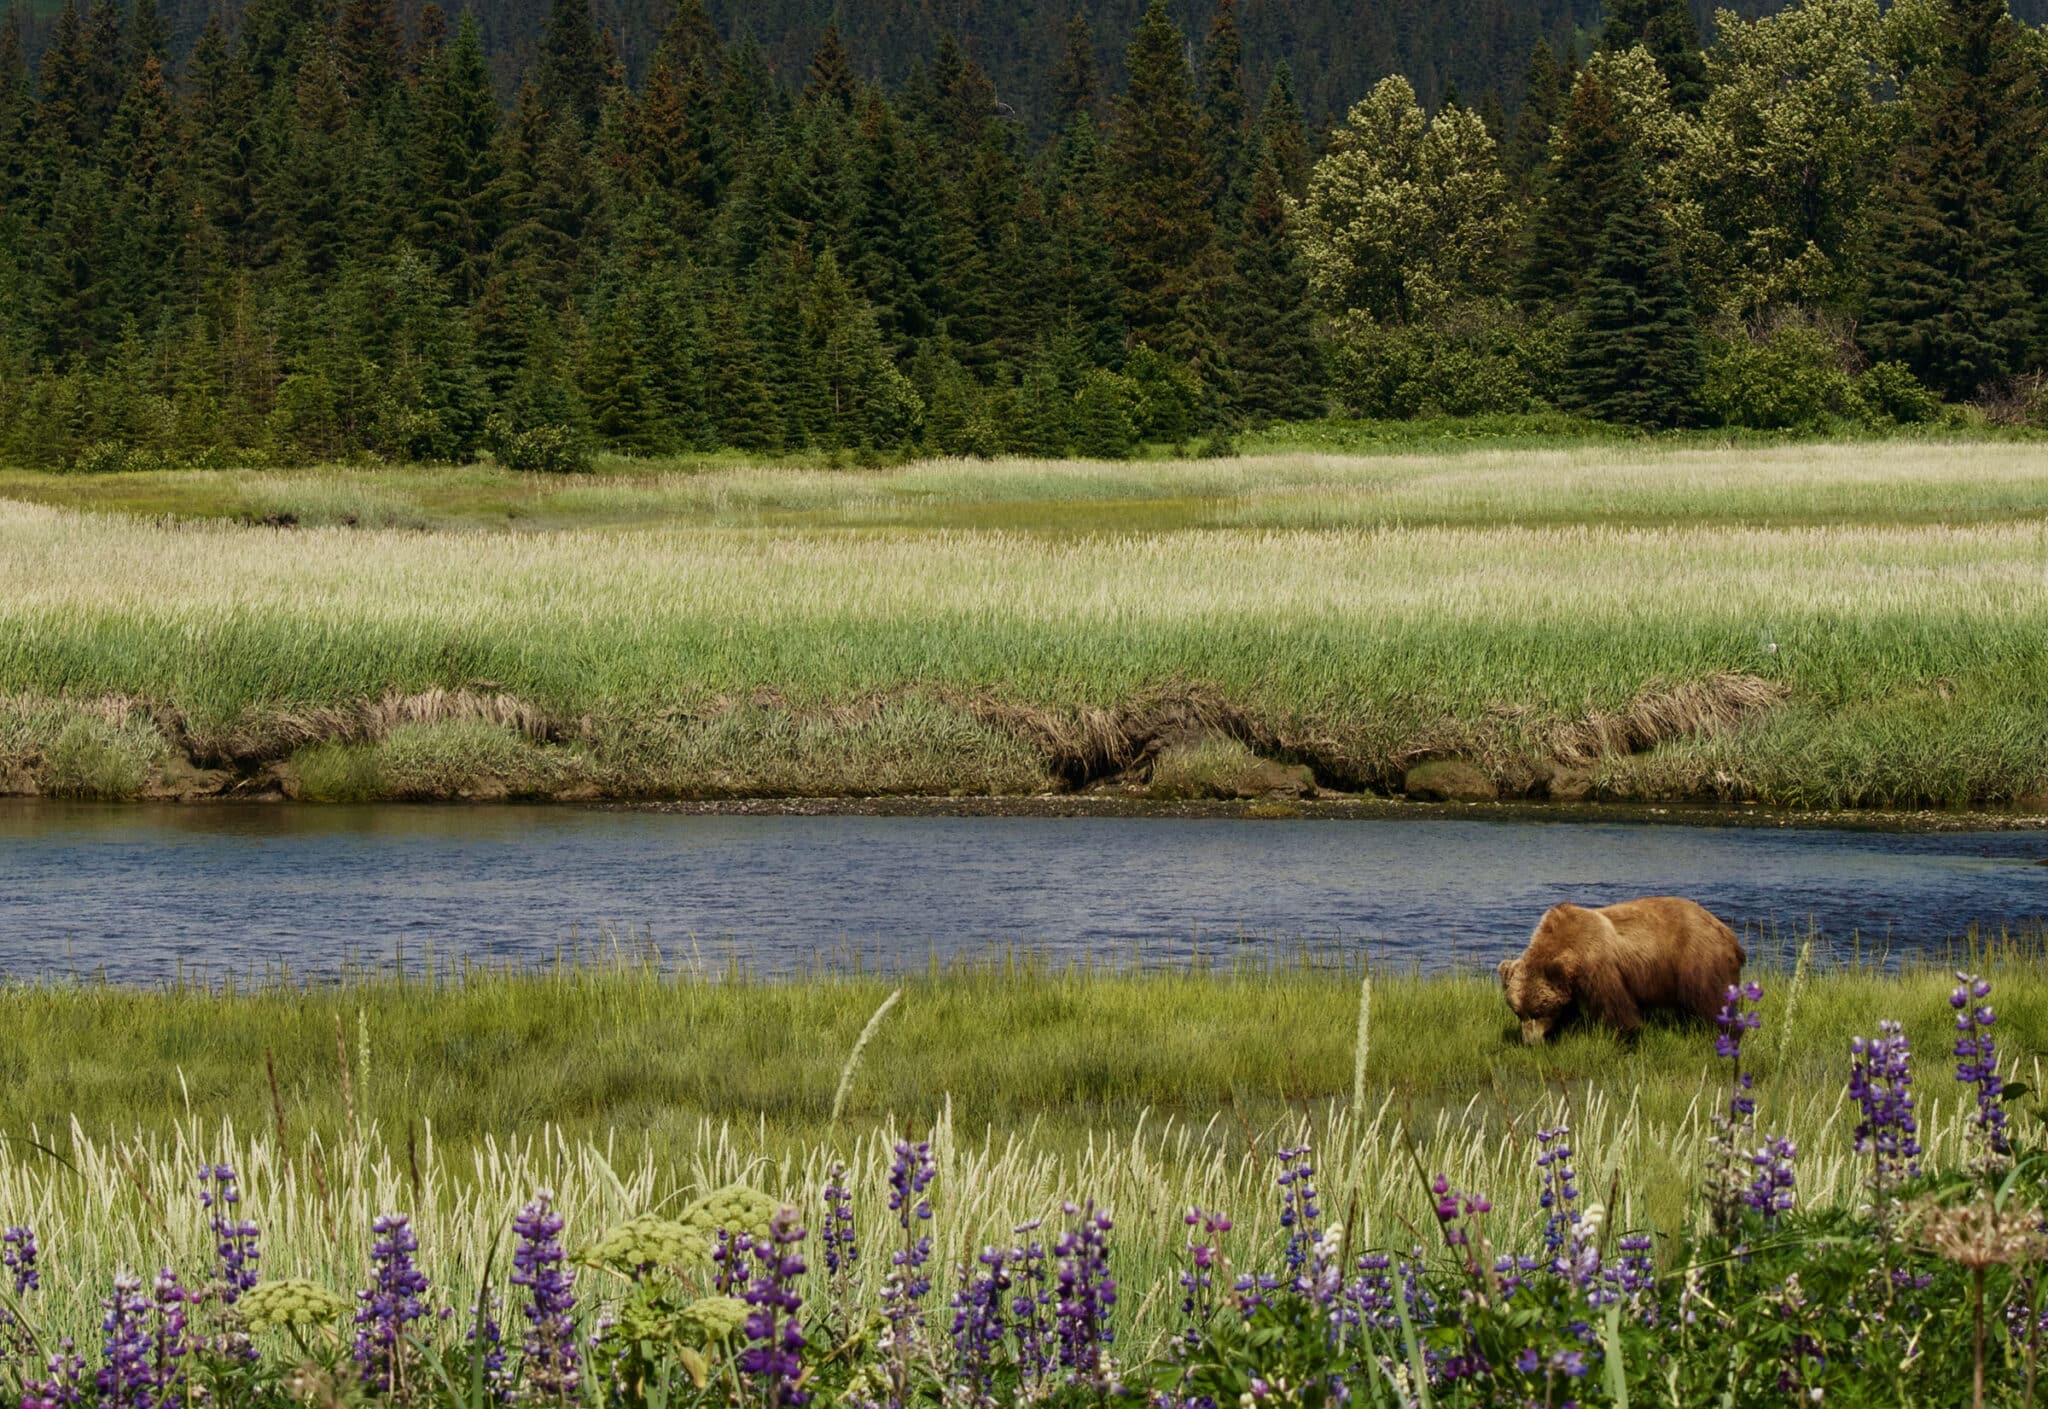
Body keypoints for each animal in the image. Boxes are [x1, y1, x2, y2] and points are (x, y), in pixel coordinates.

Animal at [1497, 896, 1745, 1045]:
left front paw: (1626, 1036)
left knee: (1711, 1000)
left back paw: (1727, 1032)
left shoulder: (1599, 965)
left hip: (1697, 960)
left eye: (1537, 1011)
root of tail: (1728, 932)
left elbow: (1615, 1004)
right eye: (1518, 1012)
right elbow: (1568, 1008)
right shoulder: (1570, 983)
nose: (1530, 1042)